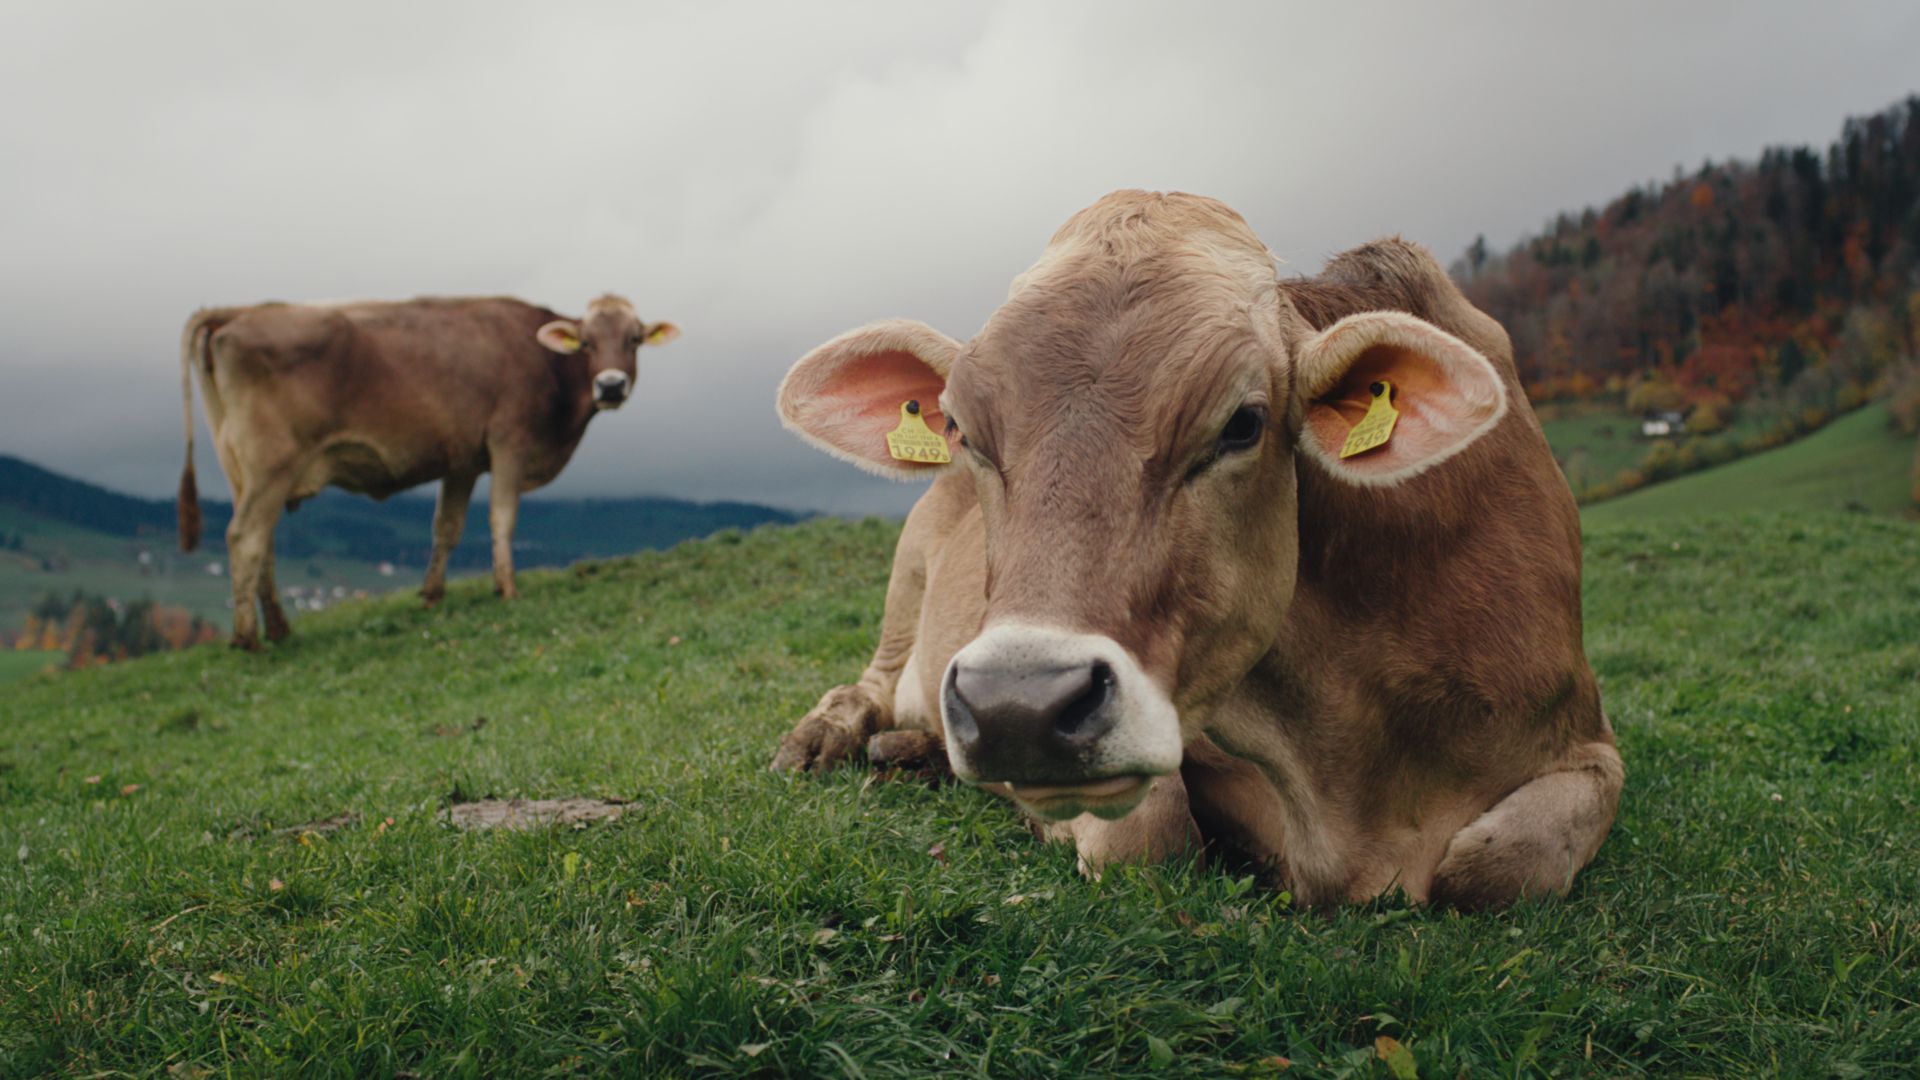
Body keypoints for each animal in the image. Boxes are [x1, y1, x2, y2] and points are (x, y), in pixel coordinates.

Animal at [176, 295, 678, 650]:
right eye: (587, 343)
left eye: (634, 340)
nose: (610, 385)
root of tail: (239, 312)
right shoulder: (509, 443)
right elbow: (502, 518)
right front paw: (507, 588)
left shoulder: (463, 460)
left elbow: (447, 527)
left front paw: (432, 593)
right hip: (271, 462)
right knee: (245, 537)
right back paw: (248, 638)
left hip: (241, 468)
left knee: (263, 543)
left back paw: (279, 628)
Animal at [770, 191, 1621, 908]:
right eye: (961, 429)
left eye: (1242, 423)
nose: (1017, 708)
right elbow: (1150, 836)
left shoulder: (1585, 741)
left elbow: (1496, 866)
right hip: (908, 575)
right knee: (867, 684)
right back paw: (824, 741)